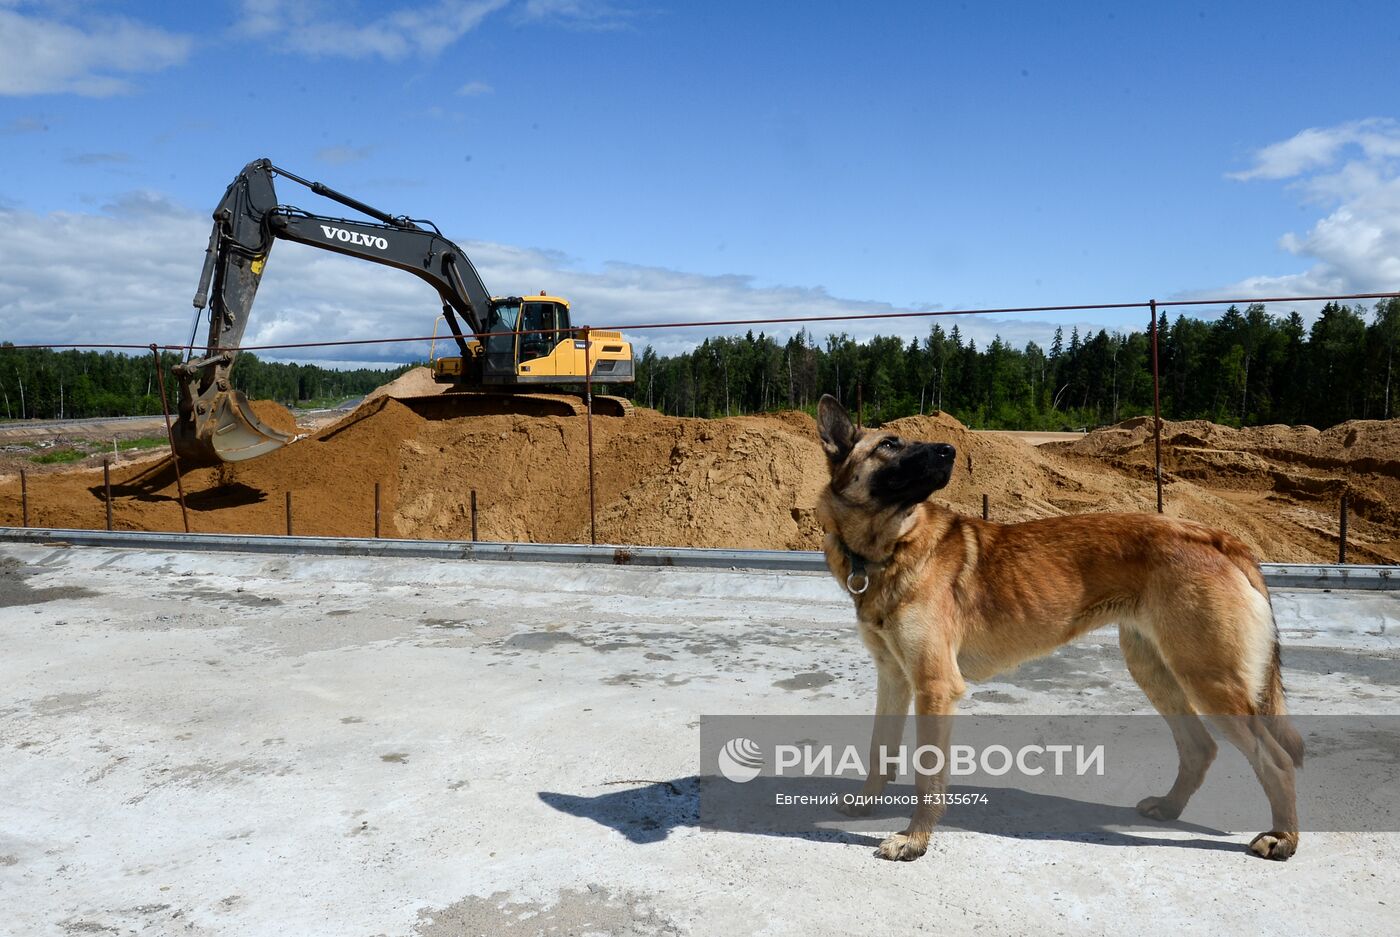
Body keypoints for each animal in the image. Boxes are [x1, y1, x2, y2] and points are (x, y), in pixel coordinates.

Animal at [817, 392, 1304, 862]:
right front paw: (867, 806)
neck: (890, 548)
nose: (949, 450)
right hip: (1158, 672)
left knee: (1276, 760)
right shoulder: (895, 679)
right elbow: (880, 751)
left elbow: (927, 776)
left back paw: (1283, 838)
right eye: (888, 445)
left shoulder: (935, 686)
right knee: (1200, 747)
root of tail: (1220, 538)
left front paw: (915, 841)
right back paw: (1169, 808)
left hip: (1208, 680)